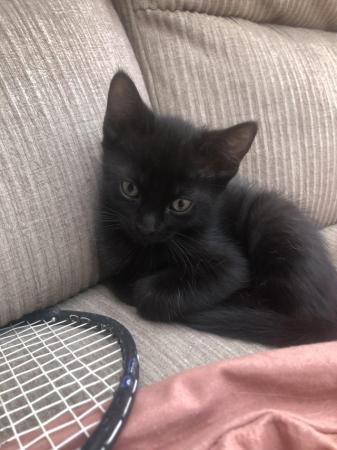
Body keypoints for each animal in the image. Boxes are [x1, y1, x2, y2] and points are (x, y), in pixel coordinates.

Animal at [98, 70, 336, 346]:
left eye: (181, 204)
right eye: (129, 188)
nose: (147, 227)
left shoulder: (229, 265)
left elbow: (148, 293)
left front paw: (143, 290)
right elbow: (120, 277)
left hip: (272, 219)